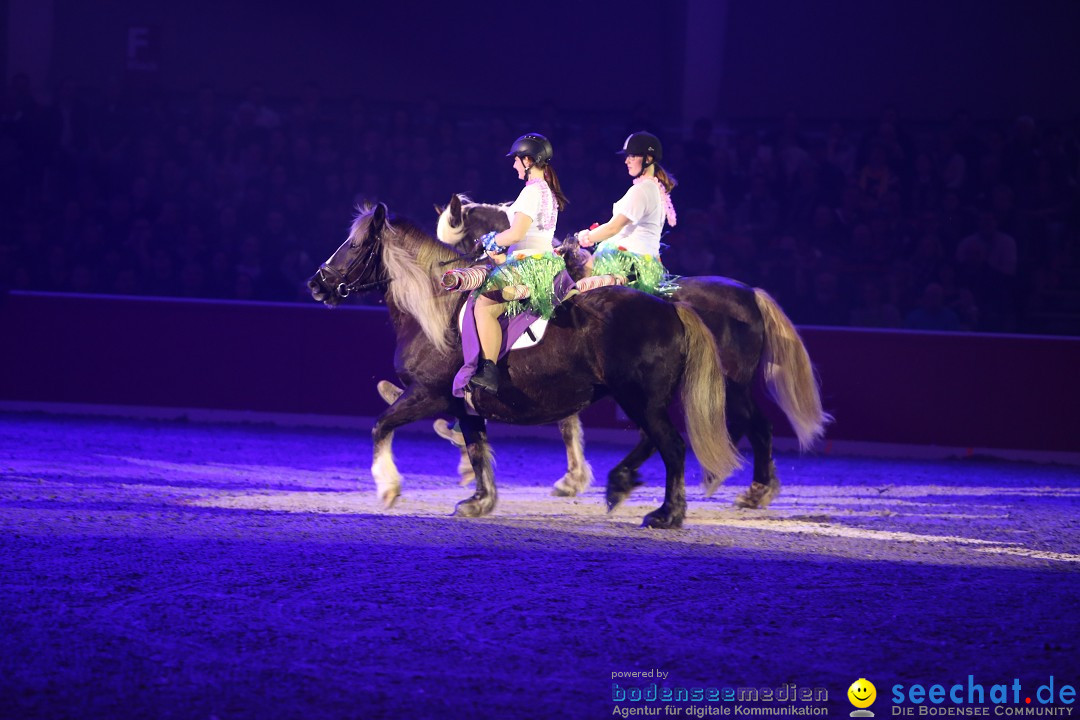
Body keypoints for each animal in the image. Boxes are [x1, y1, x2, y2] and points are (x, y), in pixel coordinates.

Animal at [308, 202, 738, 528]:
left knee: (672, 446)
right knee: (654, 441)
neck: (436, 312)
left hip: (640, 399)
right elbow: (478, 450)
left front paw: (387, 488)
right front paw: (478, 502)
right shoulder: (463, 405)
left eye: (354, 244)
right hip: (645, 401)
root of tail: (671, 308)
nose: (316, 284)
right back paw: (623, 485)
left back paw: (666, 514)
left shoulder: (427, 395)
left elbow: (382, 425)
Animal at [434, 194, 829, 509]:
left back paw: (752, 490)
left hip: (724, 385)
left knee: (752, 426)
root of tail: (750, 294)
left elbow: (564, 423)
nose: (459, 281)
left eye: (467, 242)